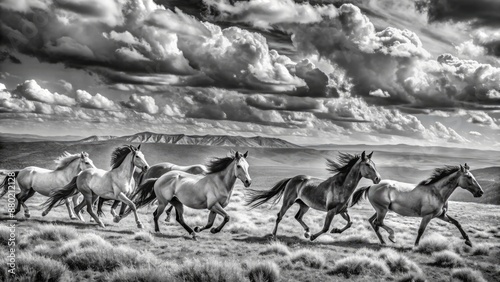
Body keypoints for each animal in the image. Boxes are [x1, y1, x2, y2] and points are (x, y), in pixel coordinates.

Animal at [245, 151, 378, 241]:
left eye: (374, 164)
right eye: (367, 165)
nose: (378, 178)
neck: (341, 186)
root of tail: (292, 179)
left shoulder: (341, 210)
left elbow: (350, 223)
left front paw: (336, 230)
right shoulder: (331, 211)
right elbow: (325, 228)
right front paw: (313, 236)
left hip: (304, 205)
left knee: (298, 217)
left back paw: (307, 231)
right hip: (288, 202)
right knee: (279, 216)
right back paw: (274, 234)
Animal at [350, 163, 482, 247]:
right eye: (469, 177)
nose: (480, 192)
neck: (436, 192)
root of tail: (371, 186)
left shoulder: (441, 215)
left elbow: (457, 223)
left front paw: (469, 242)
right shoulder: (427, 216)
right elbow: (421, 230)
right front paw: (416, 245)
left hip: (380, 210)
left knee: (372, 222)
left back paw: (383, 241)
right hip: (382, 210)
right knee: (378, 223)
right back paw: (392, 237)